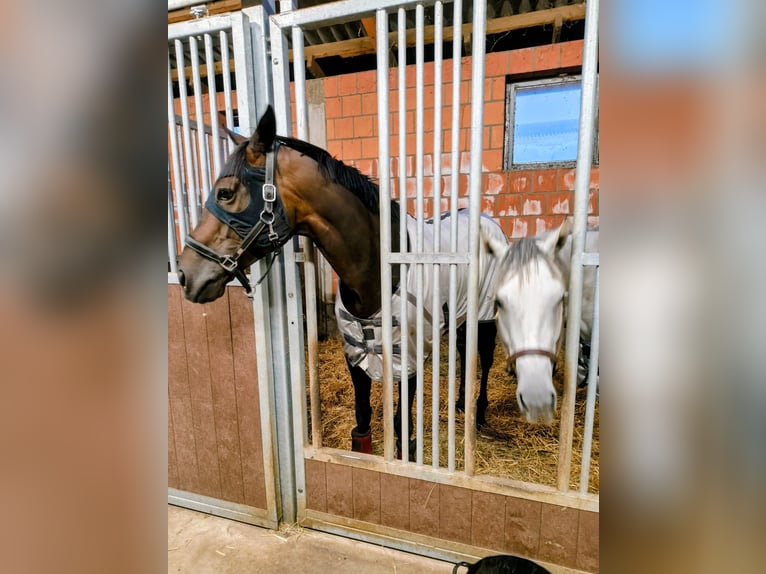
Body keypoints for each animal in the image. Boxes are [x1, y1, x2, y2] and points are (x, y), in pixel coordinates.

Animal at [177, 106, 507, 457]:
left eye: (225, 193)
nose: (184, 273)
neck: (376, 270)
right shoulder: (355, 352)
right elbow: (362, 418)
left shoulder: (411, 355)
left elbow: (402, 423)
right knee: (464, 352)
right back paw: (460, 404)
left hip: (485, 316)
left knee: (484, 360)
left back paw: (478, 414)